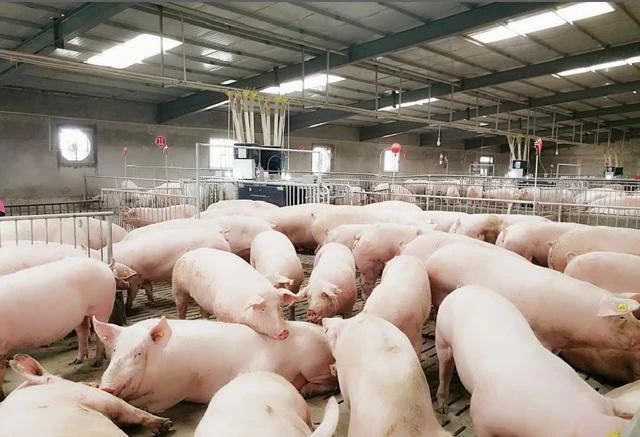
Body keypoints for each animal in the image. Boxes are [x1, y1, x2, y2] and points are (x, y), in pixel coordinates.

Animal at [0, 258, 116, 399]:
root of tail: (105, 265)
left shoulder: (2, 345)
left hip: (102, 307)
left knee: (99, 333)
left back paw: (97, 363)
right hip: (80, 315)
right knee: (83, 330)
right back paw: (76, 361)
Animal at [94, 317, 338, 412]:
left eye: (138, 353)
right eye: (115, 350)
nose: (107, 387)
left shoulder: (170, 393)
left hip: (314, 363)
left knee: (330, 380)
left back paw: (306, 391)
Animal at [426, 243, 640, 352]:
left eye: (631, 315)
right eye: (621, 317)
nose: (639, 332)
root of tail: (437, 253)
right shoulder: (542, 334)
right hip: (439, 292)